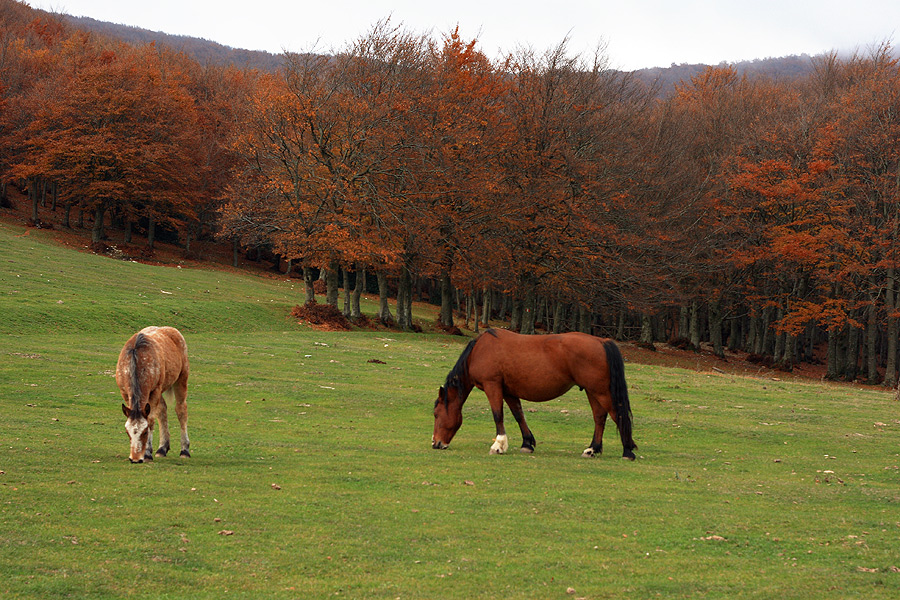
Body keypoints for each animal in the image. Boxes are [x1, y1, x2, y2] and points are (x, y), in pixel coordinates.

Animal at [116, 326, 191, 463]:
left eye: (145, 432)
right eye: (127, 432)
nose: (135, 459)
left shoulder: (154, 391)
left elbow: (150, 420)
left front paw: (147, 453)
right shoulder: (125, 393)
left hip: (181, 379)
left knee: (181, 410)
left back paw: (185, 450)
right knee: (162, 410)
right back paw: (162, 448)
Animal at [432, 328, 636, 459]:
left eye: (436, 414)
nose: (436, 443)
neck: (480, 350)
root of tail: (601, 342)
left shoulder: (493, 386)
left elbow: (498, 415)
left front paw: (498, 445)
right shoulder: (509, 391)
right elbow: (518, 415)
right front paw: (527, 444)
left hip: (600, 391)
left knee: (617, 415)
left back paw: (628, 451)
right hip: (592, 391)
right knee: (599, 417)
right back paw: (592, 449)